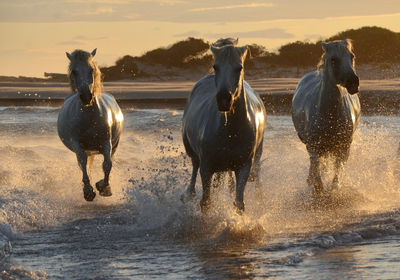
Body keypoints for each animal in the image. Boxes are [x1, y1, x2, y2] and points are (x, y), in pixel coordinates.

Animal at [57, 48, 123, 201]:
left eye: (91, 69)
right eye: (74, 71)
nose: (86, 97)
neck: (90, 118)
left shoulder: (106, 142)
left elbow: (107, 165)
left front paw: (104, 188)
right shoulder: (77, 144)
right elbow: (83, 164)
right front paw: (88, 191)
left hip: (114, 144)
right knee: (85, 165)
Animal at [181, 37, 266, 212]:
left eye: (239, 67)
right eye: (216, 66)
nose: (223, 100)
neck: (230, 131)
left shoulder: (244, 166)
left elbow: (239, 203)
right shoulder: (206, 167)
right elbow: (206, 202)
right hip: (193, 153)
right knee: (194, 167)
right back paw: (189, 193)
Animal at [292, 40, 360, 197]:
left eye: (352, 56)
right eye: (333, 59)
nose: (353, 82)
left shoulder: (344, 148)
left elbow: (336, 177)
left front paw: (334, 190)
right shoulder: (314, 147)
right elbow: (318, 179)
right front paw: (317, 190)